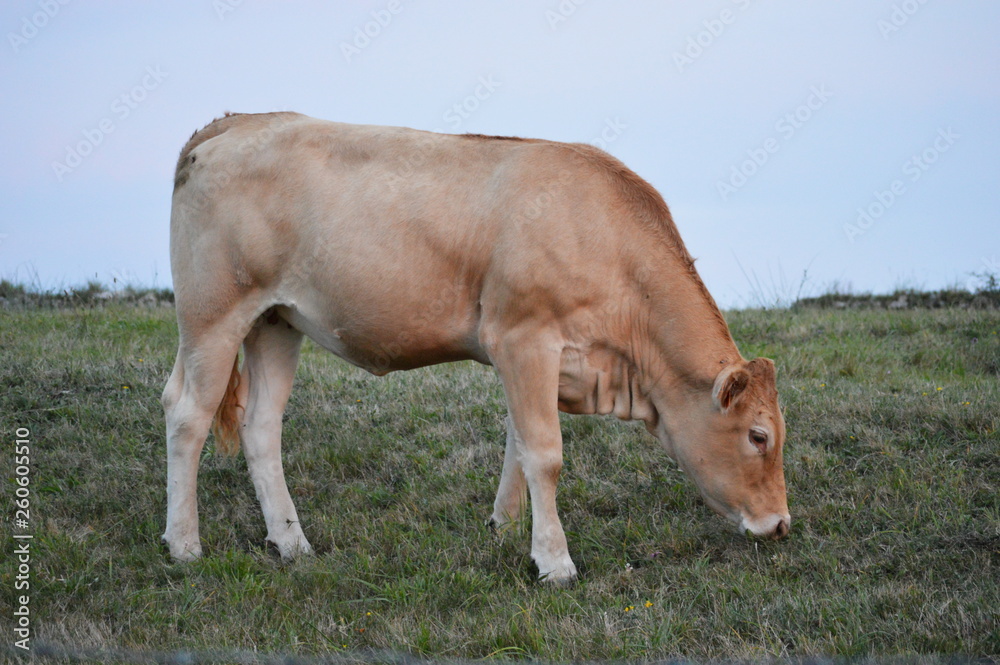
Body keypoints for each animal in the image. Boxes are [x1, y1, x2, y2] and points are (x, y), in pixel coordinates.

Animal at [162, 111, 788, 584]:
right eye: (758, 436)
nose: (780, 525)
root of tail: (241, 120)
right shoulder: (525, 337)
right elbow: (545, 451)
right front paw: (555, 562)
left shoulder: (530, 359)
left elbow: (518, 439)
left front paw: (505, 527)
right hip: (212, 314)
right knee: (188, 414)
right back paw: (185, 545)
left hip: (274, 321)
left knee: (261, 425)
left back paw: (291, 544)